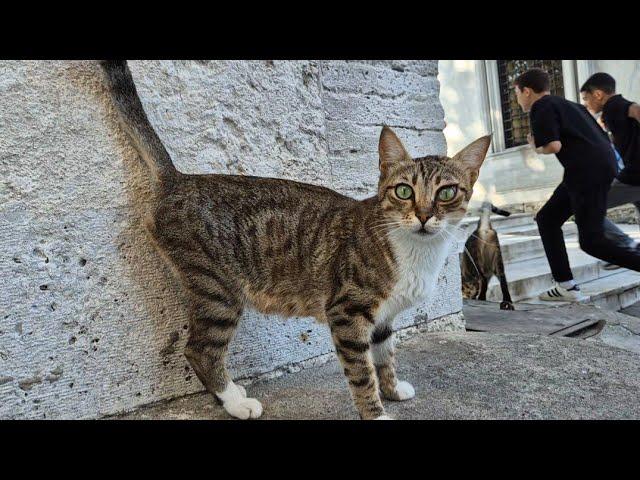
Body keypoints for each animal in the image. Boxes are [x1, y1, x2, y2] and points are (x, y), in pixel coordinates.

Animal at [99, 61, 490, 420]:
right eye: (404, 191)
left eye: (447, 192)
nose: (424, 216)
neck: (417, 252)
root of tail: (178, 179)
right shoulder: (347, 311)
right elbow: (362, 373)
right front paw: (376, 412)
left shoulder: (382, 317)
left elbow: (384, 356)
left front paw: (392, 389)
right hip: (218, 288)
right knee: (200, 350)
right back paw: (236, 402)